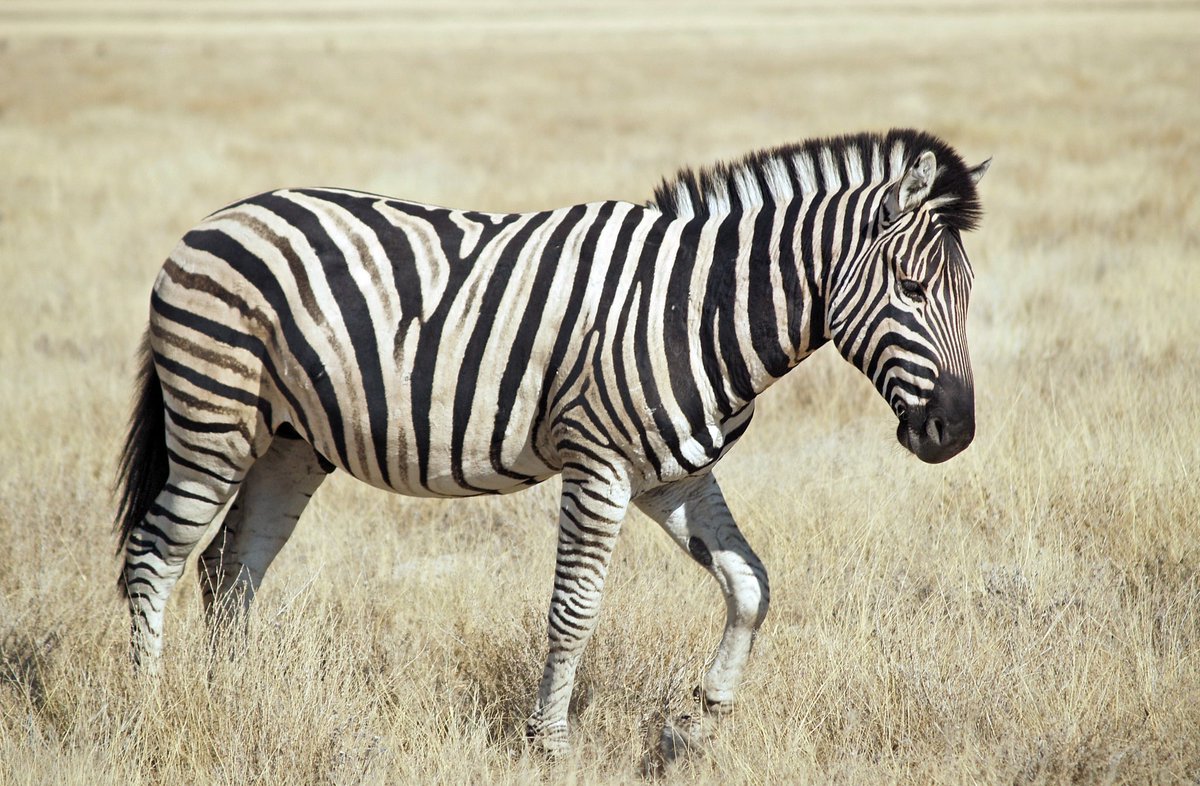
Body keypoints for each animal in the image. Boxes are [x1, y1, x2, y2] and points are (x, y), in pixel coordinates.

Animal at [115, 128, 988, 757]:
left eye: (969, 295)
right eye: (912, 290)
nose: (957, 434)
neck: (697, 307)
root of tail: (218, 218)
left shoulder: (674, 475)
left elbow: (750, 584)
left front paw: (704, 720)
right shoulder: (597, 464)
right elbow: (575, 610)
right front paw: (551, 743)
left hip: (289, 442)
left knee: (230, 570)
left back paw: (232, 701)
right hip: (213, 420)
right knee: (155, 557)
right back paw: (150, 715)